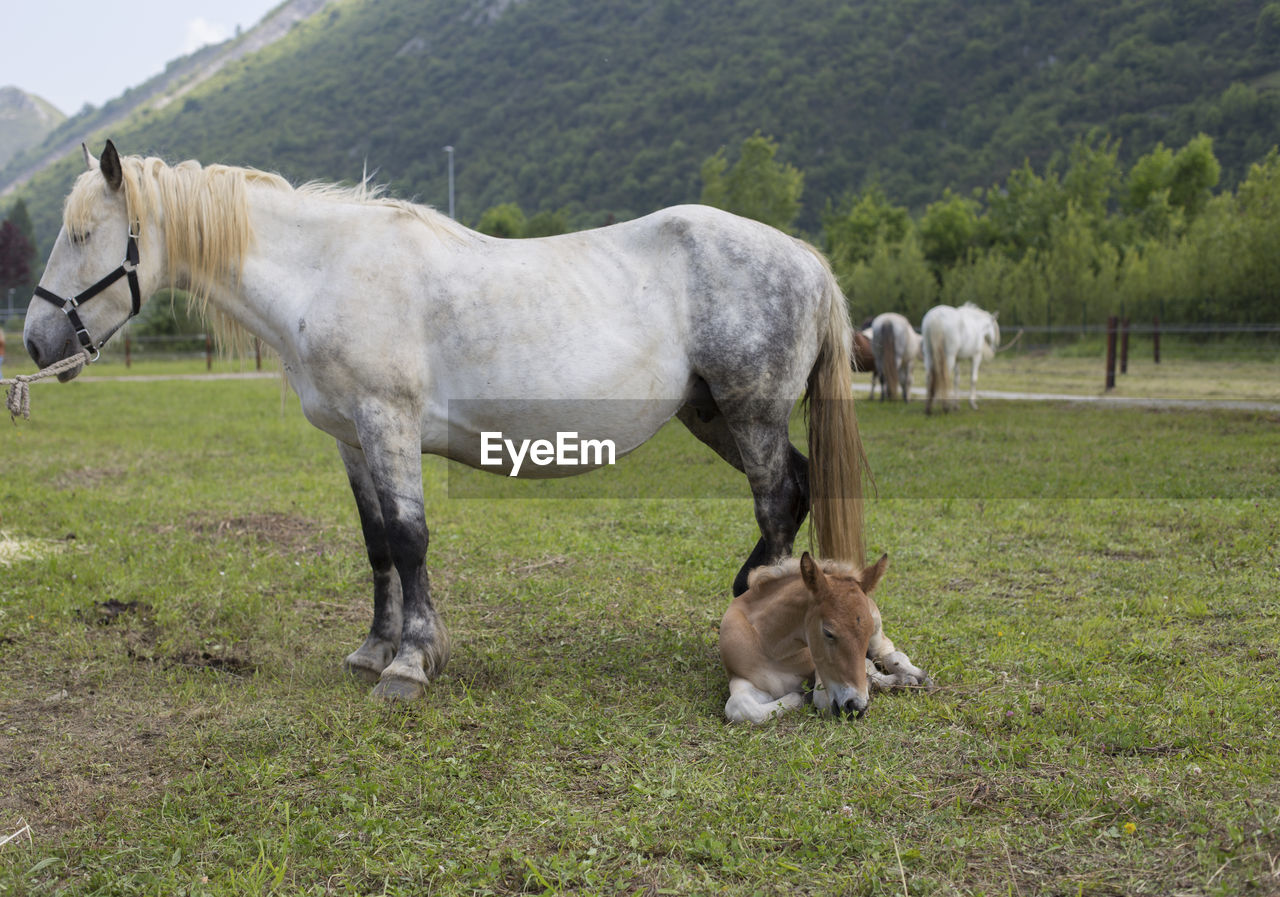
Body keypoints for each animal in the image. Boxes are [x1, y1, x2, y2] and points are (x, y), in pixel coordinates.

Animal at [24, 140, 870, 701]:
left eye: (83, 234)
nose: (36, 341)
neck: (327, 271)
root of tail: (802, 256)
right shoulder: (352, 439)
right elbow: (376, 544)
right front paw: (375, 648)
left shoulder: (388, 423)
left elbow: (409, 538)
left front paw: (411, 662)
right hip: (712, 414)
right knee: (794, 490)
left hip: (749, 412)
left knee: (775, 501)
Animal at [716, 550, 926, 726]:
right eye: (828, 632)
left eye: (866, 634)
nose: (856, 707)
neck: (773, 649)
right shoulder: (743, 678)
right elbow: (739, 707)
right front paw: (800, 696)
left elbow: (825, 696)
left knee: (888, 653)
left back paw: (915, 676)